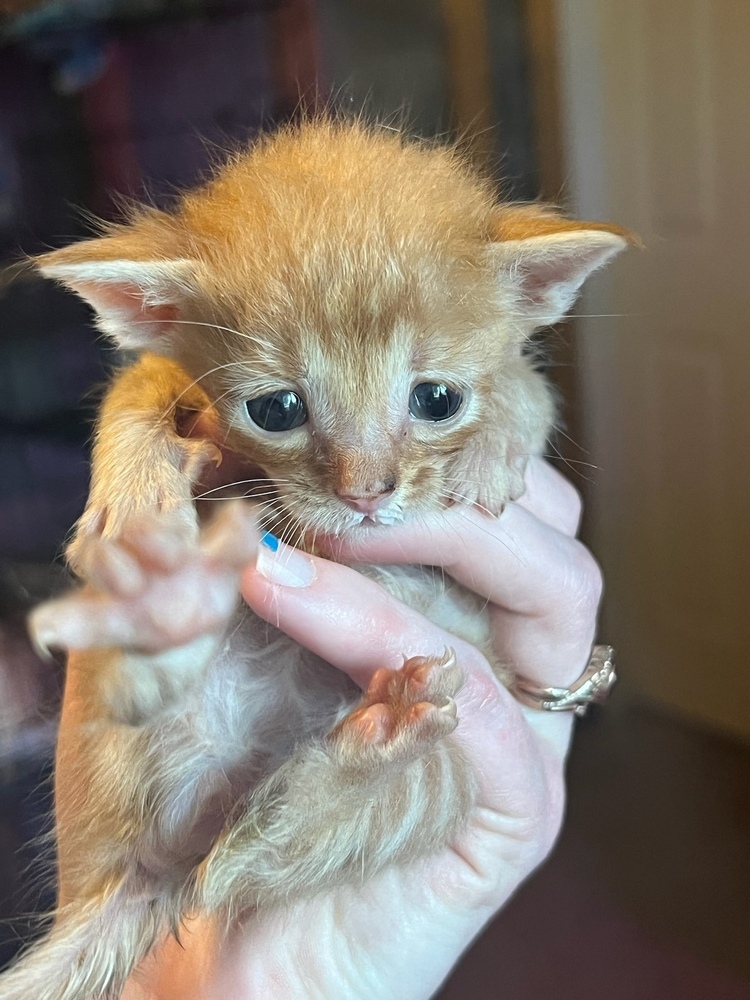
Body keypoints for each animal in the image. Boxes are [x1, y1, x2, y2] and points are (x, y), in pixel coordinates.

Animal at [2, 121, 632, 996]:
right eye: (277, 410)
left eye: (437, 399)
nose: (365, 494)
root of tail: (148, 874)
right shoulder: (160, 366)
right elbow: (131, 392)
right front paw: (133, 495)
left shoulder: (519, 377)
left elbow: (526, 386)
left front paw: (490, 450)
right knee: (223, 867)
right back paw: (162, 616)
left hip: (455, 759)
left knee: (241, 861)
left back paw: (371, 751)